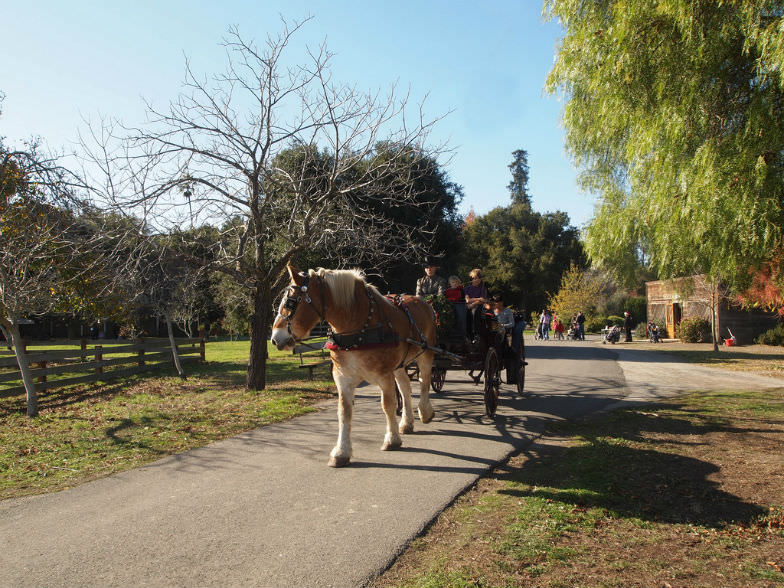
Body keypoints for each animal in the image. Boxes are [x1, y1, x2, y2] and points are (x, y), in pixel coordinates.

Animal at [272, 264, 438, 466]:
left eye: (289, 303)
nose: (274, 339)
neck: (357, 328)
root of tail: (423, 302)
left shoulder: (384, 375)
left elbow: (387, 405)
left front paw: (391, 439)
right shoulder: (343, 377)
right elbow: (344, 412)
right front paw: (341, 452)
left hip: (426, 353)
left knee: (425, 380)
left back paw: (425, 411)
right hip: (399, 364)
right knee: (406, 387)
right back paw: (407, 422)